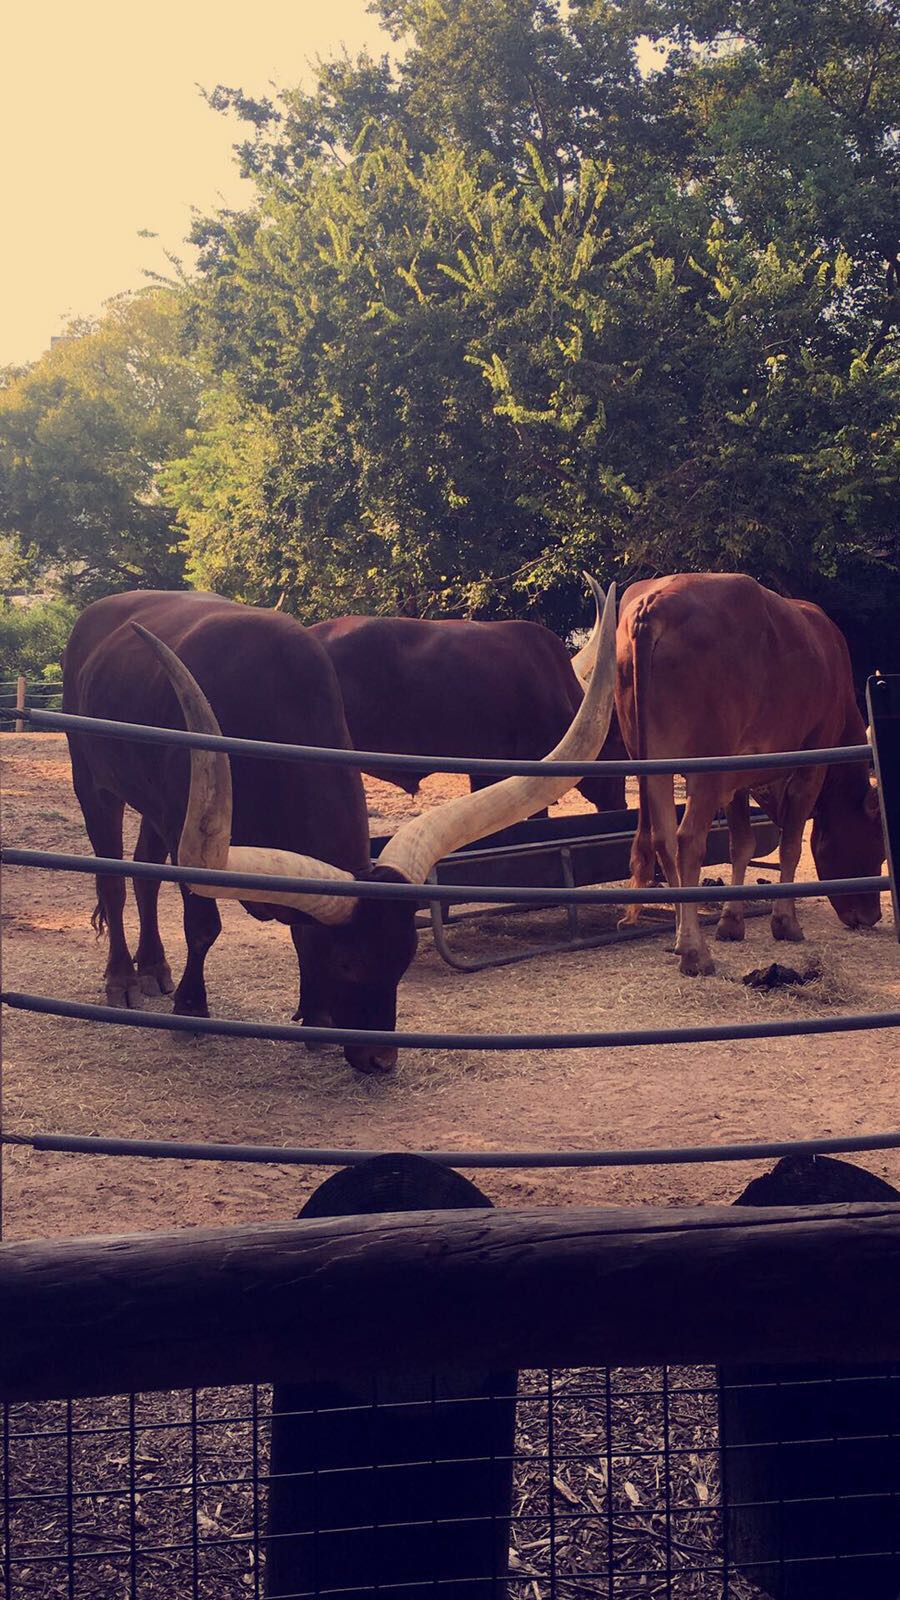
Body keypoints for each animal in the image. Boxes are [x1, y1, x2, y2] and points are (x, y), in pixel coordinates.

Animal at [614, 573, 884, 977]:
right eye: (876, 845)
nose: (870, 917)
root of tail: (654, 604)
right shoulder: (809, 766)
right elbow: (790, 845)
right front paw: (785, 922)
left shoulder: (737, 778)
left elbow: (741, 844)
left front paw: (731, 921)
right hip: (704, 768)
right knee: (687, 840)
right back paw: (694, 951)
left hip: (653, 764)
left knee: (663, 840)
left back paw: (681, 936)